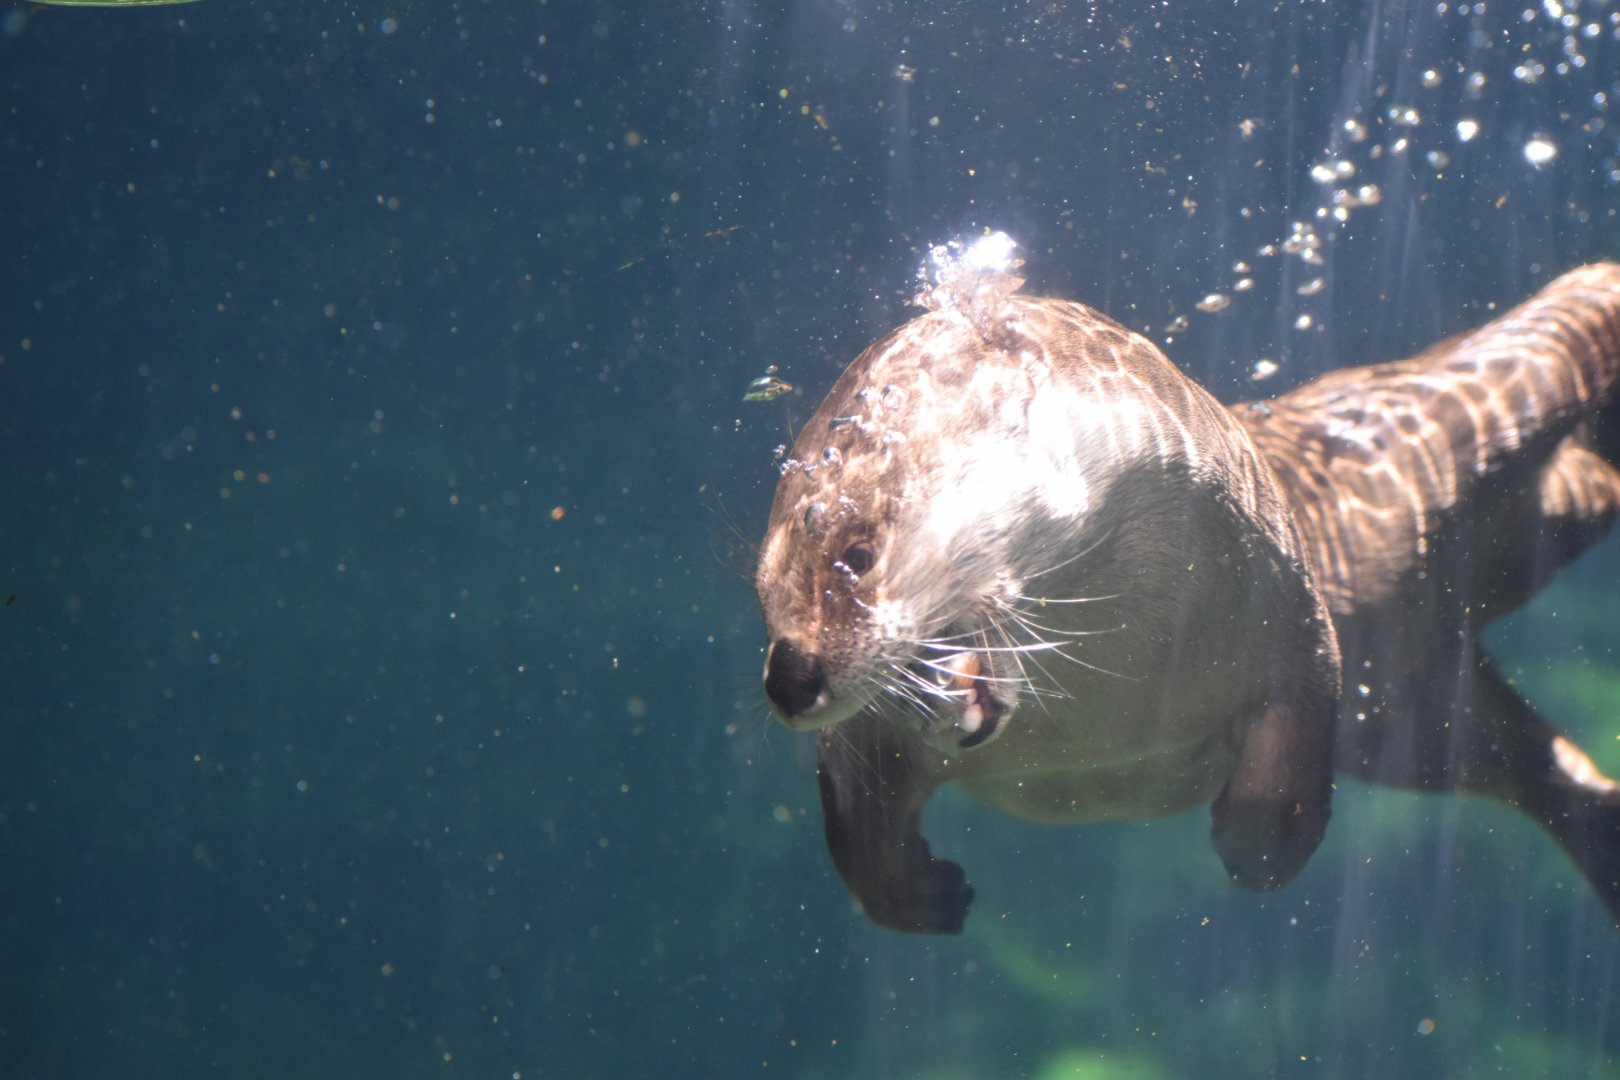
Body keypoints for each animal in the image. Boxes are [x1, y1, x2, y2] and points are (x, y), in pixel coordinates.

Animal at [755, 239, 1620, 934]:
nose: (790, 678)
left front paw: (1254, 848)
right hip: (1414, 725)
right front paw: (922, 896)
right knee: (1527, 761)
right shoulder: (867, 737)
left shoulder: (1288, 607)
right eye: (763, 588)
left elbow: (1296, 733)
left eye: (858, 551)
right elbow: (852, 824)